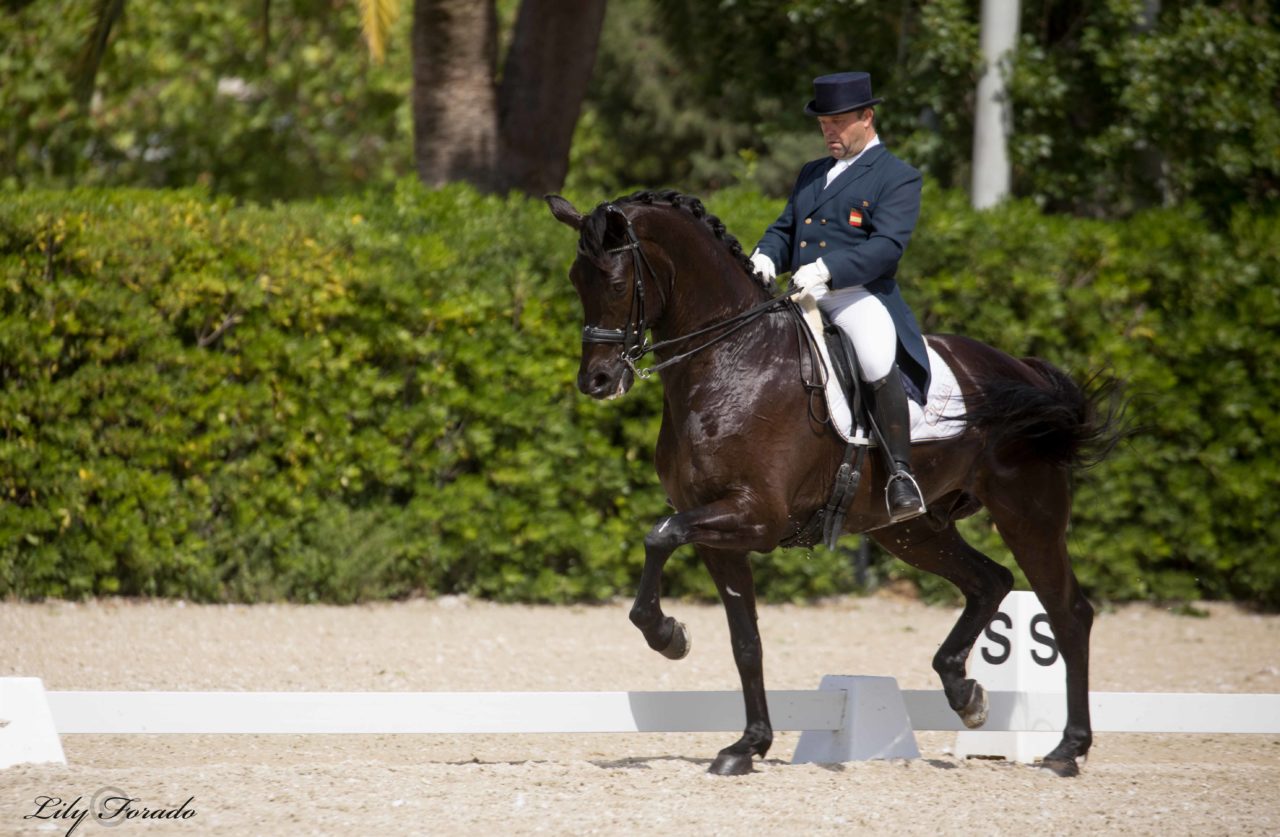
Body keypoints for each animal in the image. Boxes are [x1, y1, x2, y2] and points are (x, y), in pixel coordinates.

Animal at [545, 190, 1116, 778]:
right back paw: (965, 693)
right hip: (910, 530)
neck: (731, 359)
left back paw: (1066, 749)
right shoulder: (716, 532)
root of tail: (1021, 369)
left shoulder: (756, 517)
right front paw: (747, 745)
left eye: (616, 284)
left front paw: (668, 636)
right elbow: (745, 640)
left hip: (1028, 513)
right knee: (989, 581)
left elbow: (658, 535)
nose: (596, 381)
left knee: (1068, 614)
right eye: (575, 280)